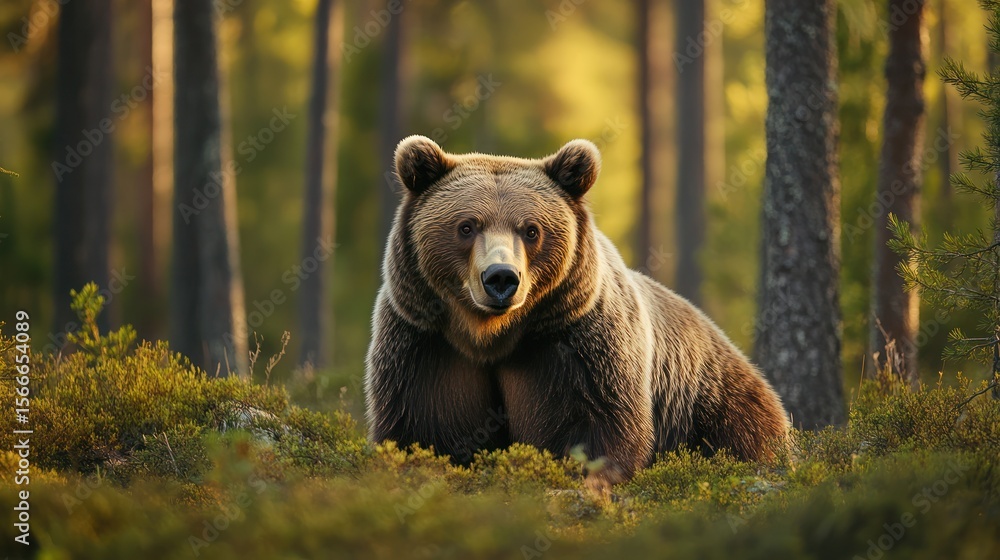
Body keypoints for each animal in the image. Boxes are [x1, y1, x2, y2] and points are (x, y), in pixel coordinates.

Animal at [365, 135, 789, 489]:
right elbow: (426, 429)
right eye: (466, 226)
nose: (501, 277)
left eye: (531, 229)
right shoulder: (426, 345)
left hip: (715, 406)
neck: (490, 335)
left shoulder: (579, 346)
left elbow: (594, 428)